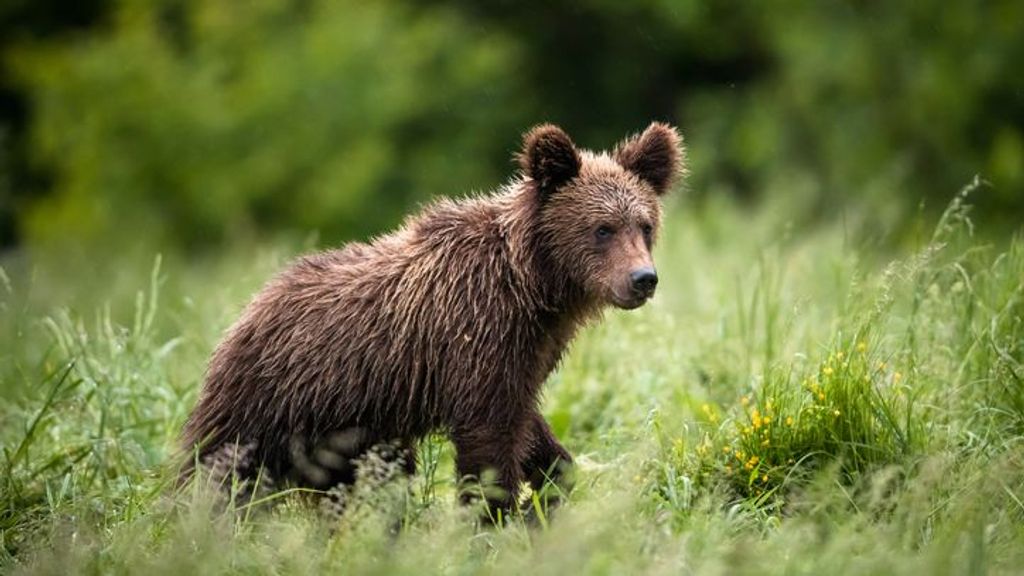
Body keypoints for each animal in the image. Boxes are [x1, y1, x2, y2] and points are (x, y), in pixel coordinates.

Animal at [180, 120, 684, 516]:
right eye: (602, 229)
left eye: (644, 224)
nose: (643, 279)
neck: (533, 286)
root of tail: (248, 309)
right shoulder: (476, 337)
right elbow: (488, 443)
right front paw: (492, 519)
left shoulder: (526, 353)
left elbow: (528, 426)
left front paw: (549, 488)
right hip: (271, 400)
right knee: (218, 472)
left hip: (346, 431)